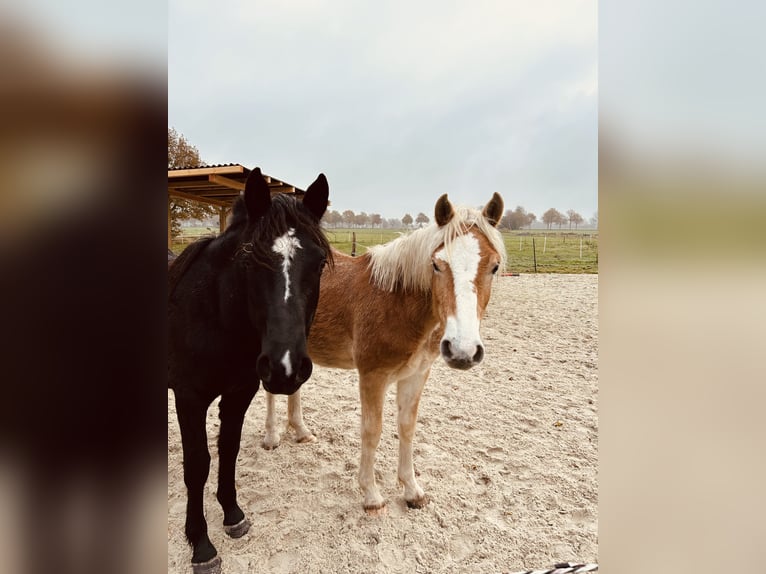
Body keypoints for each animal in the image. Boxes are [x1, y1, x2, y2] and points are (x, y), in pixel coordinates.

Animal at [170, 168, 330, 574]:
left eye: (320, 262)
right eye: (250, 260)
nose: (285, 367)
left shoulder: (240, 392)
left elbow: (228, 448)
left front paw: (232, 515)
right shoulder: (189, 398)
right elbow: (197, 464)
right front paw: (201, 545)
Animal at [260, 195, 508, 516]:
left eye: (494, 266)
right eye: (437, 265)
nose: (462, 350)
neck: (397, 302)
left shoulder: (416, 375)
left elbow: (407, 428)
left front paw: (412, 491)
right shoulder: (372, 377)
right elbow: (372, 431)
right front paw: (371, 495)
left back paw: (301, 432)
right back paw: (271, 437)